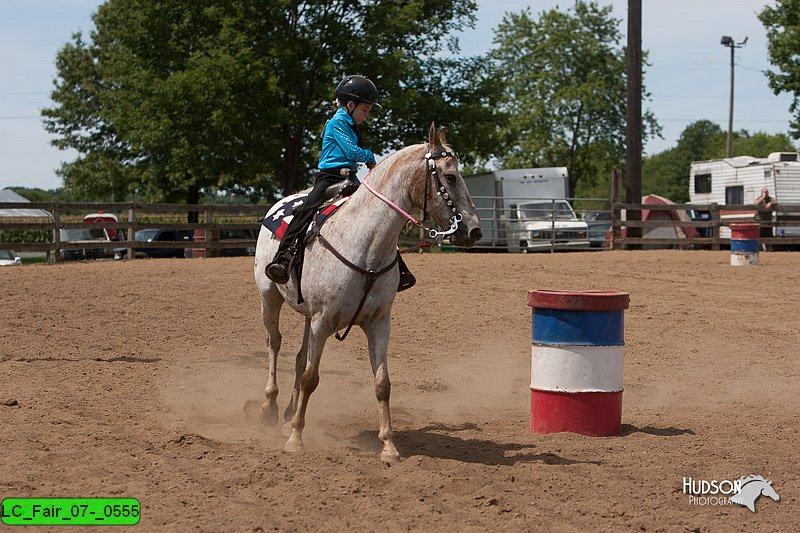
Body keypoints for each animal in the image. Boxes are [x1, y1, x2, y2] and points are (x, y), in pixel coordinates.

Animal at [253, 120, 482, 462]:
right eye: (451, 176)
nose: (474, 231)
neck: (364, 244)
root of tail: (283, 202)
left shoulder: (378, 323)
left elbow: (382, 383)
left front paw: (388, 446)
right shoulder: (322, 321)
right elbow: (311, 378)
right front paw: (296, 439)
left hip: (307, 314)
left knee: (298, 356)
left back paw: (289, 417)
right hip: (270, 298)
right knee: (275, 344)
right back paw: (269, 408)